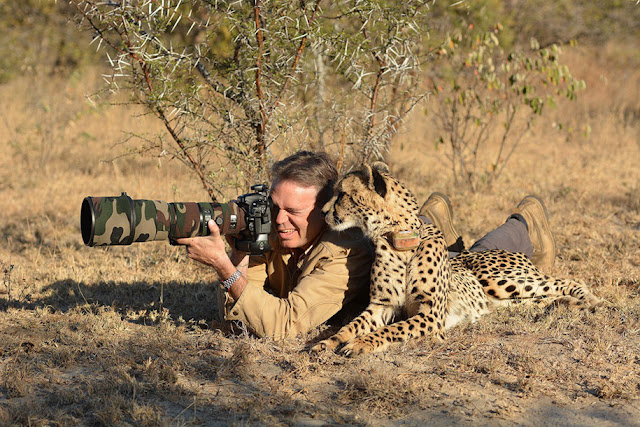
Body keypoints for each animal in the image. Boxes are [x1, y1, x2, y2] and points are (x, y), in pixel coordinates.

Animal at [310, 162, 600, 356]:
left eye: (342, 194)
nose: (322, 212)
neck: (399, 239)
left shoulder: (431, 316)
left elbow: (390, 330)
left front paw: (360, 343)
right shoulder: (381, 306)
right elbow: (350, 326)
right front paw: (326, 343)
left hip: (501, 280)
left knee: (565, 281)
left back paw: (591, 301)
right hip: (506, 300)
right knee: (543, 298)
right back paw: (568, 305)